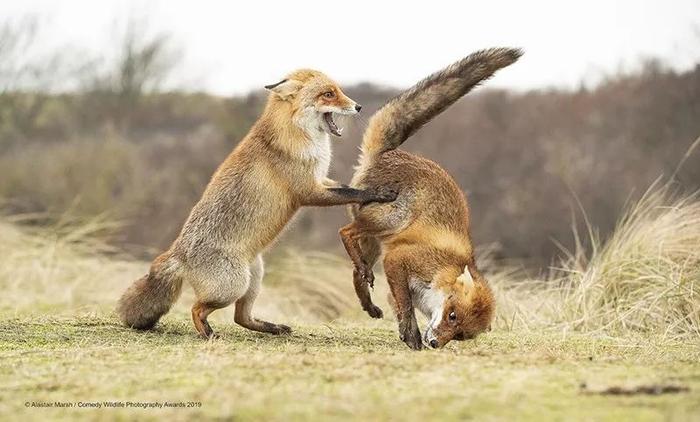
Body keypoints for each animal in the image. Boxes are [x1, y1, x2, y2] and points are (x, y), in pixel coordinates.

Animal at [117, 69, 396, 340]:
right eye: (328, 94)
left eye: (339, 90)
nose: (358, 106)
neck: (298, 136)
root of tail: (178, 253)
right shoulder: (308, 191)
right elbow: (351, 192)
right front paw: (379, 193)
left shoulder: (320, 180)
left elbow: (346, 187)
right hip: (232, 286)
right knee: (197, 309)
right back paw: (208, 333)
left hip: (254, 278)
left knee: (240, 317)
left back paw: (273, 328)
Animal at [340, 47, 520, 350]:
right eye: (452, 315)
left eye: (460, 334)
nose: (436, 343)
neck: (443, 271)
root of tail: (389, 153)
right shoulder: (398, 260)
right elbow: (405, 307)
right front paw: (412, 336)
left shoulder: (395, 277)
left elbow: (399, 307)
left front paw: (408, 334)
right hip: (389, 220)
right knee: (345, 232)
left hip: (375, 243)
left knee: (356, 271)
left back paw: (368, 303)